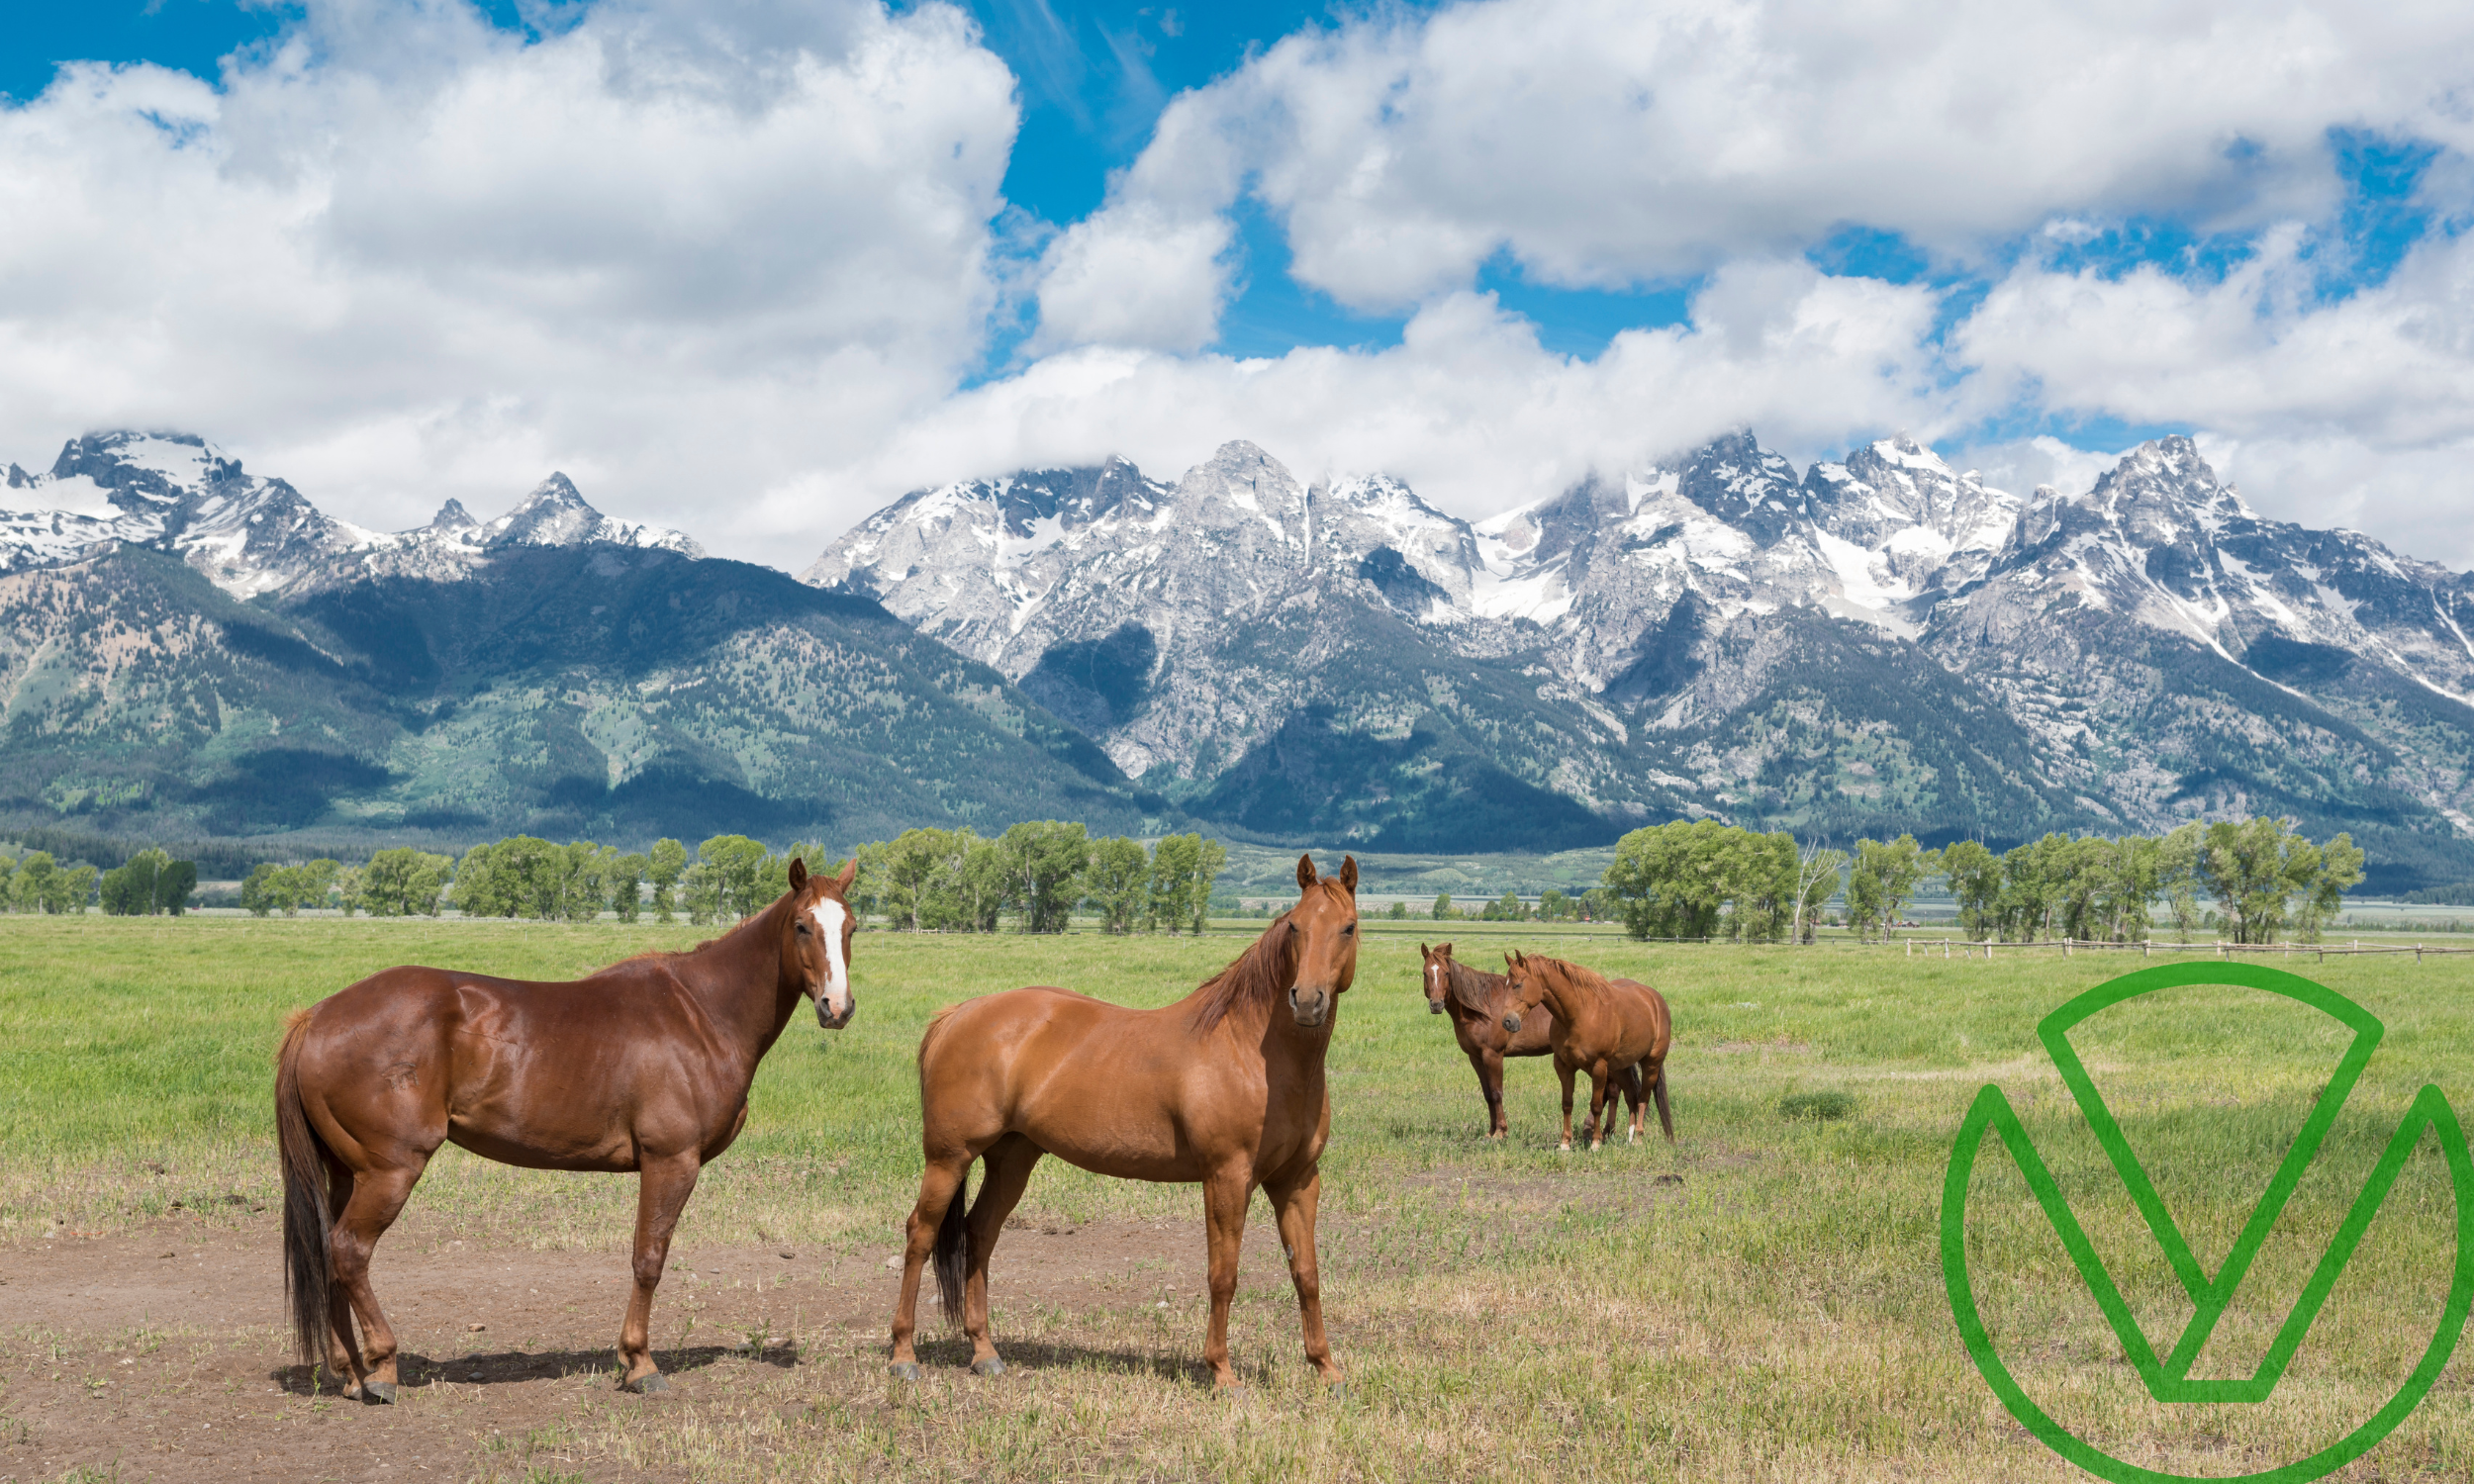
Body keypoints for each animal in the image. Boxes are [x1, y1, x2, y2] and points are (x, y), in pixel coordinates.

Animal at [274, 856, 859, 1402]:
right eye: (802, 926)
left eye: (851, 927)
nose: (838, 1007)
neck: (701, 1013)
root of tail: (315, 1018)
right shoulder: (671, 1161)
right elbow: (648, 1260)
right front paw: (639, 1363)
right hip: (390, 1171)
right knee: (350, 1250)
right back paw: (382, 1367)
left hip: (346, 1171)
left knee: (330, 1253)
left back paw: (352, 1372)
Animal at [889, 853, 1360, 1392]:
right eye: (1296, 926)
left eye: (1348, 926)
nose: (1307, 1001)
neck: (1254, 1055)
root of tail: (956, 1015)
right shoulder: (1226, 1177)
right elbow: (1223, 1274)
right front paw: (1222, 1372)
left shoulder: (1297, 1181)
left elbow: (1307, 1273)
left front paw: (1326, 1368)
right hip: (948, 1159)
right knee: (920, 1235)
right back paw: (903, 1356)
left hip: (1012, 1158)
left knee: (979, 1233)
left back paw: (984, 1351)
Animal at [1499, 951, 1675, 1151]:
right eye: (1506, 985)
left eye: (1518, 984)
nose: (1507, 1022)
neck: (1580, 1015)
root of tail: (1655, 1000)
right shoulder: (1563, 1065)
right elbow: (1567, 1103)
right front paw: (1565, 1143)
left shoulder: (1599, 1067)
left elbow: (1596, 1105)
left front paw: (1595, 1143)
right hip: (1620, 1068)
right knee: (1631, 1096)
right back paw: (1629, 1138)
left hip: (1651, 1064)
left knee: (1643, 1098)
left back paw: (1637, 1138)